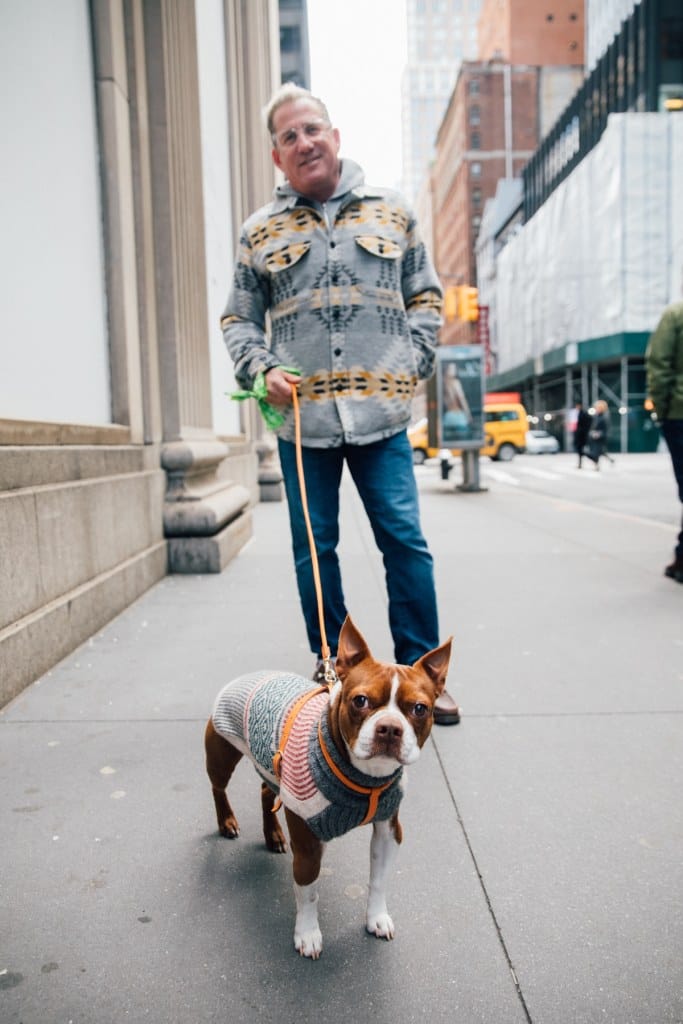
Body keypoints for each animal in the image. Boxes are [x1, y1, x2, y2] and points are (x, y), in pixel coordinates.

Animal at [205, 614, 450, 958]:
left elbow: (378, 879)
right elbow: (308, 892)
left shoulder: (388, 830)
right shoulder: (307, 843)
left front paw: (377, 917)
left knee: (266, 791)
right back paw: (227, 821)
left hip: (272, 771)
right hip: (221, 752)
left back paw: (273, 835)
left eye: (420, 709)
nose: (389, 728)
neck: (365, 779)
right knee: (218, 787)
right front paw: (308, 935)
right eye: (360, 701)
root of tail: (252, 674)